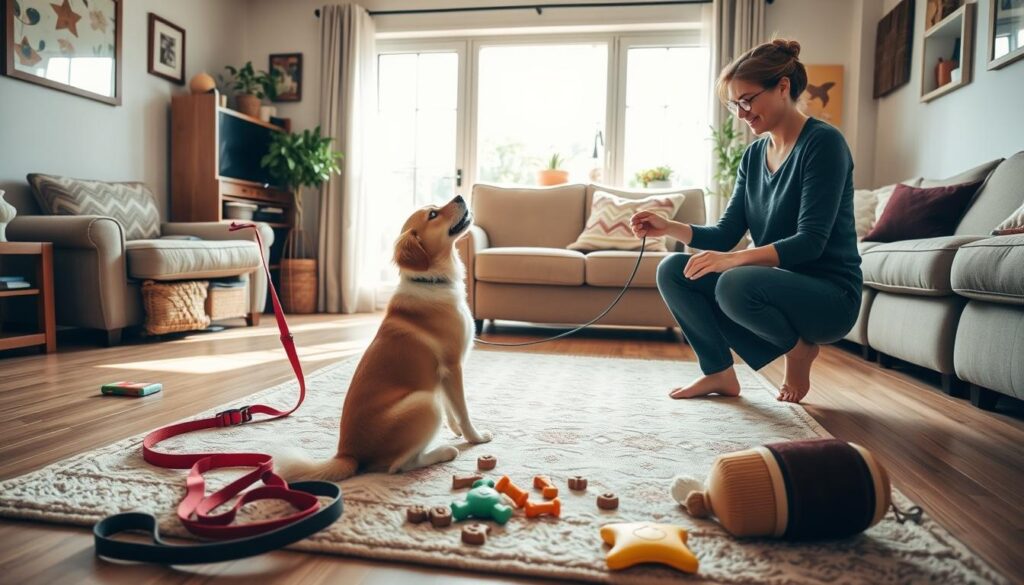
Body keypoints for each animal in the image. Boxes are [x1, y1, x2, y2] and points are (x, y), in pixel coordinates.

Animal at [276, 194, 491, 483]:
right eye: (433, 215)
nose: (459, 196)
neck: (430, 280)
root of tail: (348, 454)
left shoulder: (444, 376)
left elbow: (452, 408)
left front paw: (456, 429)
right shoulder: (452, 367)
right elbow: (463, 410)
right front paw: (474, 438)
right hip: (425, 403)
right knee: (399, 466)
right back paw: (444, 452)